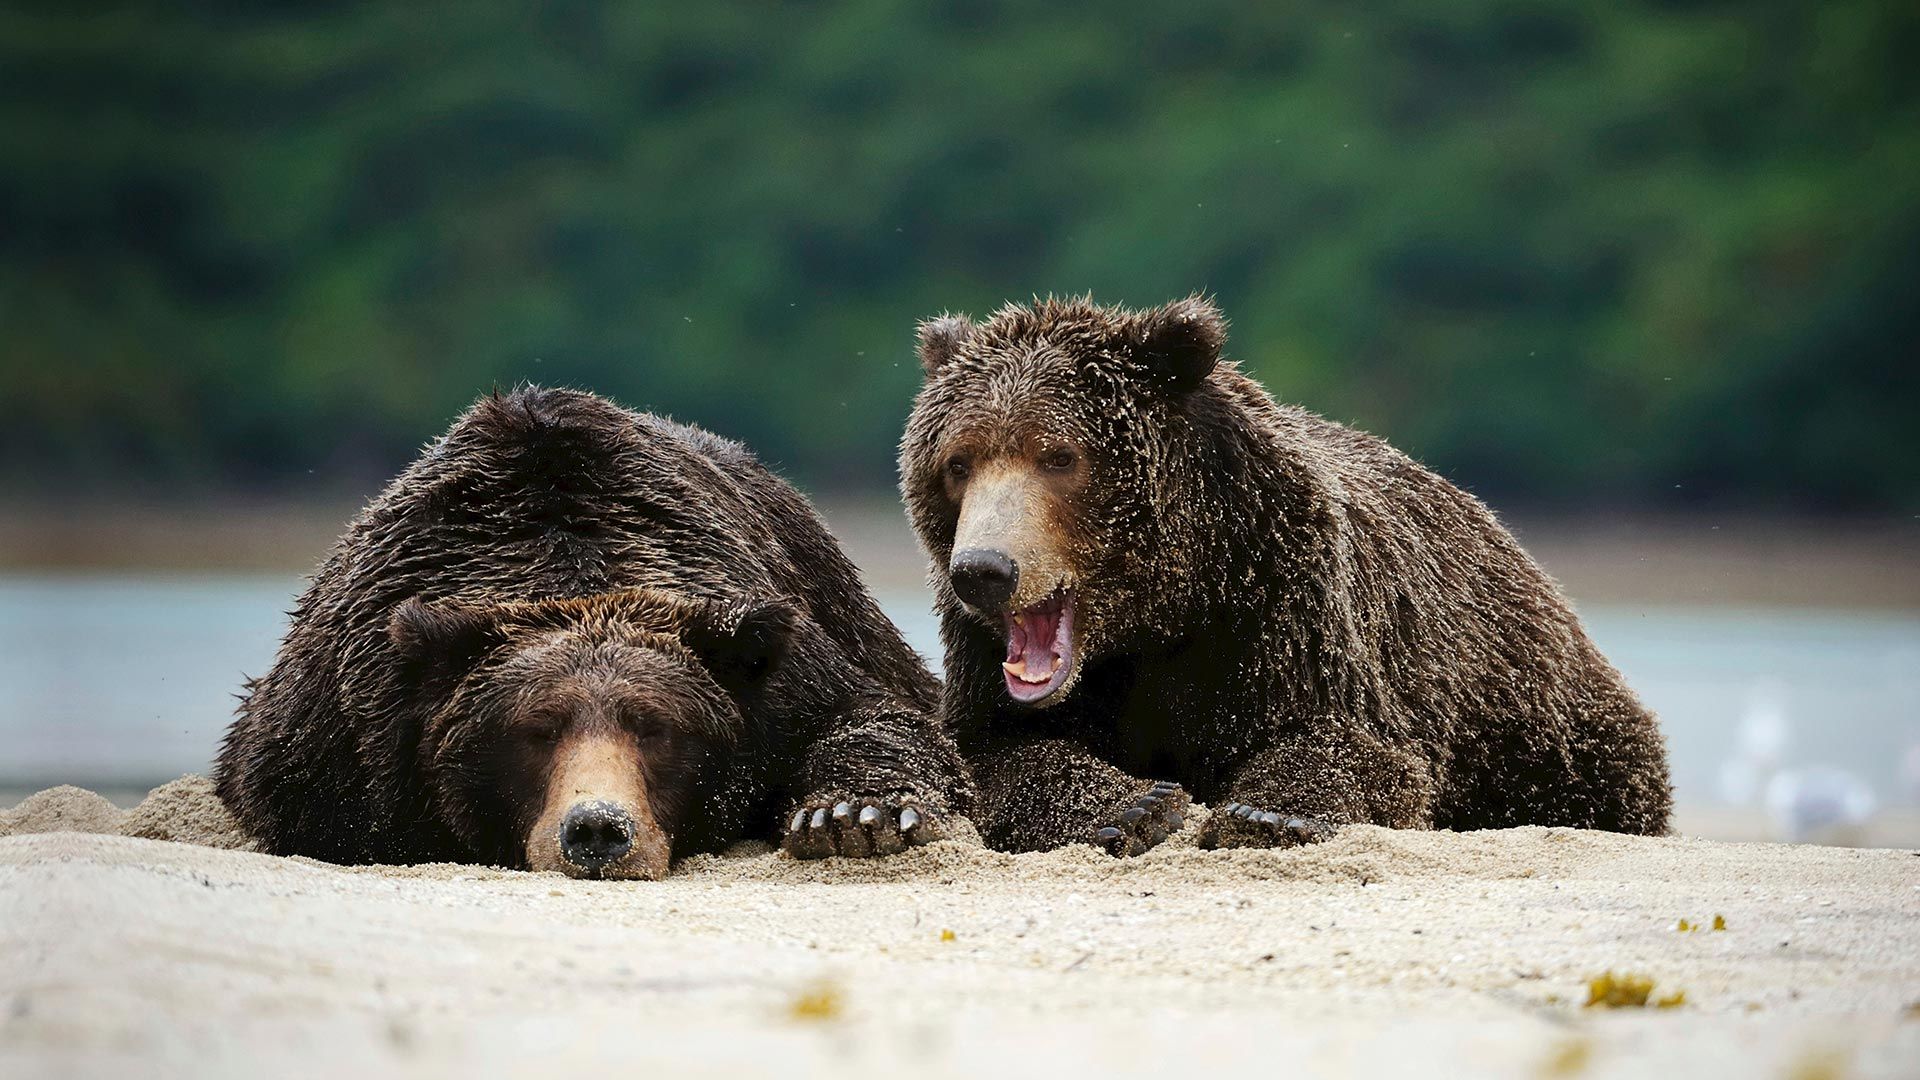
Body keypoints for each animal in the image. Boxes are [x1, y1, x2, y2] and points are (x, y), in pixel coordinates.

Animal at [217, 384, 975, 876]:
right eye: (535, 728)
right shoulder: (348, 725)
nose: (597, 830)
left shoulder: (778, 670)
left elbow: (874, 717)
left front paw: (850, 817)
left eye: (657, 727)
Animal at [898, 294, 1666, 849]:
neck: (1164, 611)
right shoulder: (985, 658)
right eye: (958, 462)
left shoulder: (1283, 605)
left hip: (1539, 725)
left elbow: (1352, 745)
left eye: (1059, 456)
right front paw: (1132, 804)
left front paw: (1270, 813)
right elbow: (993, 750)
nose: (984, 569)